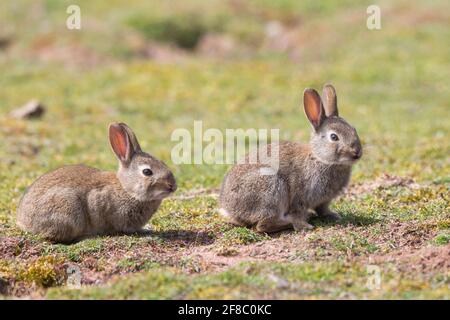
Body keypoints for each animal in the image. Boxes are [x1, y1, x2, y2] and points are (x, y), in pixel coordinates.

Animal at [218, 84, 362, 232]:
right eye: (334, 137)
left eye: (354, 130)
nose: (357, 153)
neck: (320, 158)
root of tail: (229, 209)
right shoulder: (299, 197)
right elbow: (297, 212)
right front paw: (302, 225)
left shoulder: (323, 201)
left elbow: (322, 209)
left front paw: (333, 215)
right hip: (272, 189)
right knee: (263, 225)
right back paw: (294, 223)